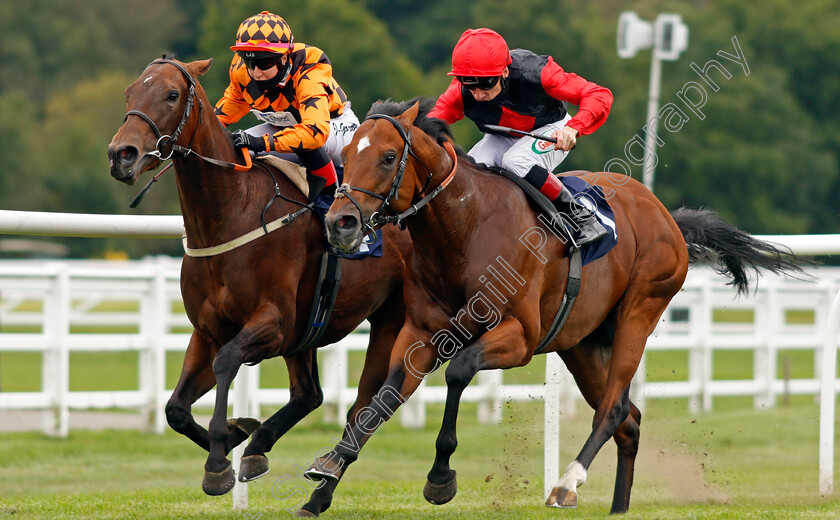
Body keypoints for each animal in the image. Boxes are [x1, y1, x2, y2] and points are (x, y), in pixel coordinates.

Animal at [106, 59, 414, 498]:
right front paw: (237, 436)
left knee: (370, 399)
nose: (122, 155)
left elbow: (227, 361)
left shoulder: (272, 323)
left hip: (392, 317)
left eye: (171, 94)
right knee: (309, 394)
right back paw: (259, 447)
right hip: (307, 331)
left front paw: (219, 458)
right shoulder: (209, 330)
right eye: (130, 92)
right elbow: (175, 409)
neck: (232, 212)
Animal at [296, 98, 800, 516]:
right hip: (581, 345)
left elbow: (459, 371)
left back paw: (567, 484)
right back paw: (617, 507)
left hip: (640, 311)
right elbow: (382, 399)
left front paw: (440, 478)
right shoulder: (419, 331)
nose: (340, 223)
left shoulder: (519, 336)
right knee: (631, 420)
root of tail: (665, 215)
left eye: (386, 157)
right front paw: (325, 477)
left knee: (613, 409)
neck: (463, 229)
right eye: (346, 156)